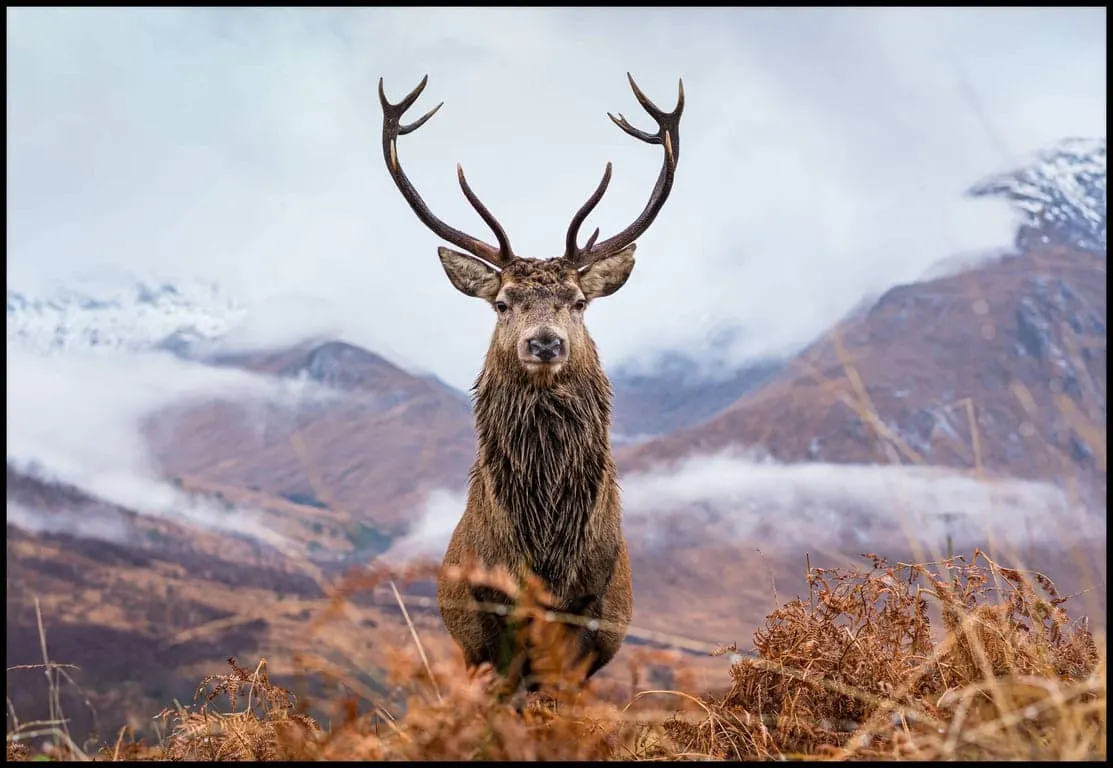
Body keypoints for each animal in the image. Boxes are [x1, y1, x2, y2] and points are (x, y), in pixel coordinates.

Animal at [378, 73, 683, 694]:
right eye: (501, 302)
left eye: (579, 301)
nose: (544, 343)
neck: (544, 551)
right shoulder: (488, 616)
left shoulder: (587, 612)